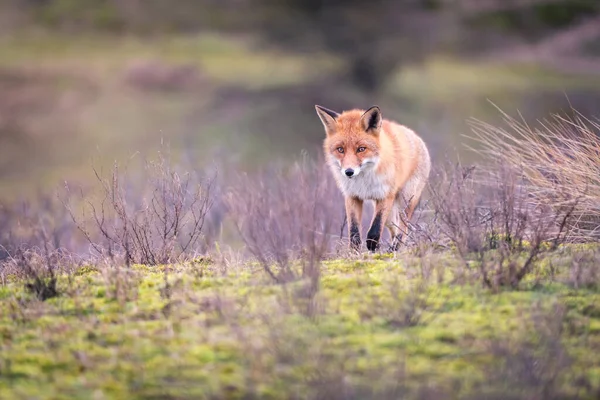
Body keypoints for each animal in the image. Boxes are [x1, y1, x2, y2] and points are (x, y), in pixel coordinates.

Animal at [314, 104, 432, 252]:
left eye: (361, 149)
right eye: (340, 149)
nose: (349, 172)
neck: (364, 182)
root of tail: (416, 136)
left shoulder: (385, 195)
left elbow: (375, 228)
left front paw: (372, 247)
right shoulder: (352, 196)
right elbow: (354, 232)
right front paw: (355, 251)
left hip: (405, 201)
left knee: (403, 229)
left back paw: (395, 249)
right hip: (391, 215)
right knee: (394, 227)